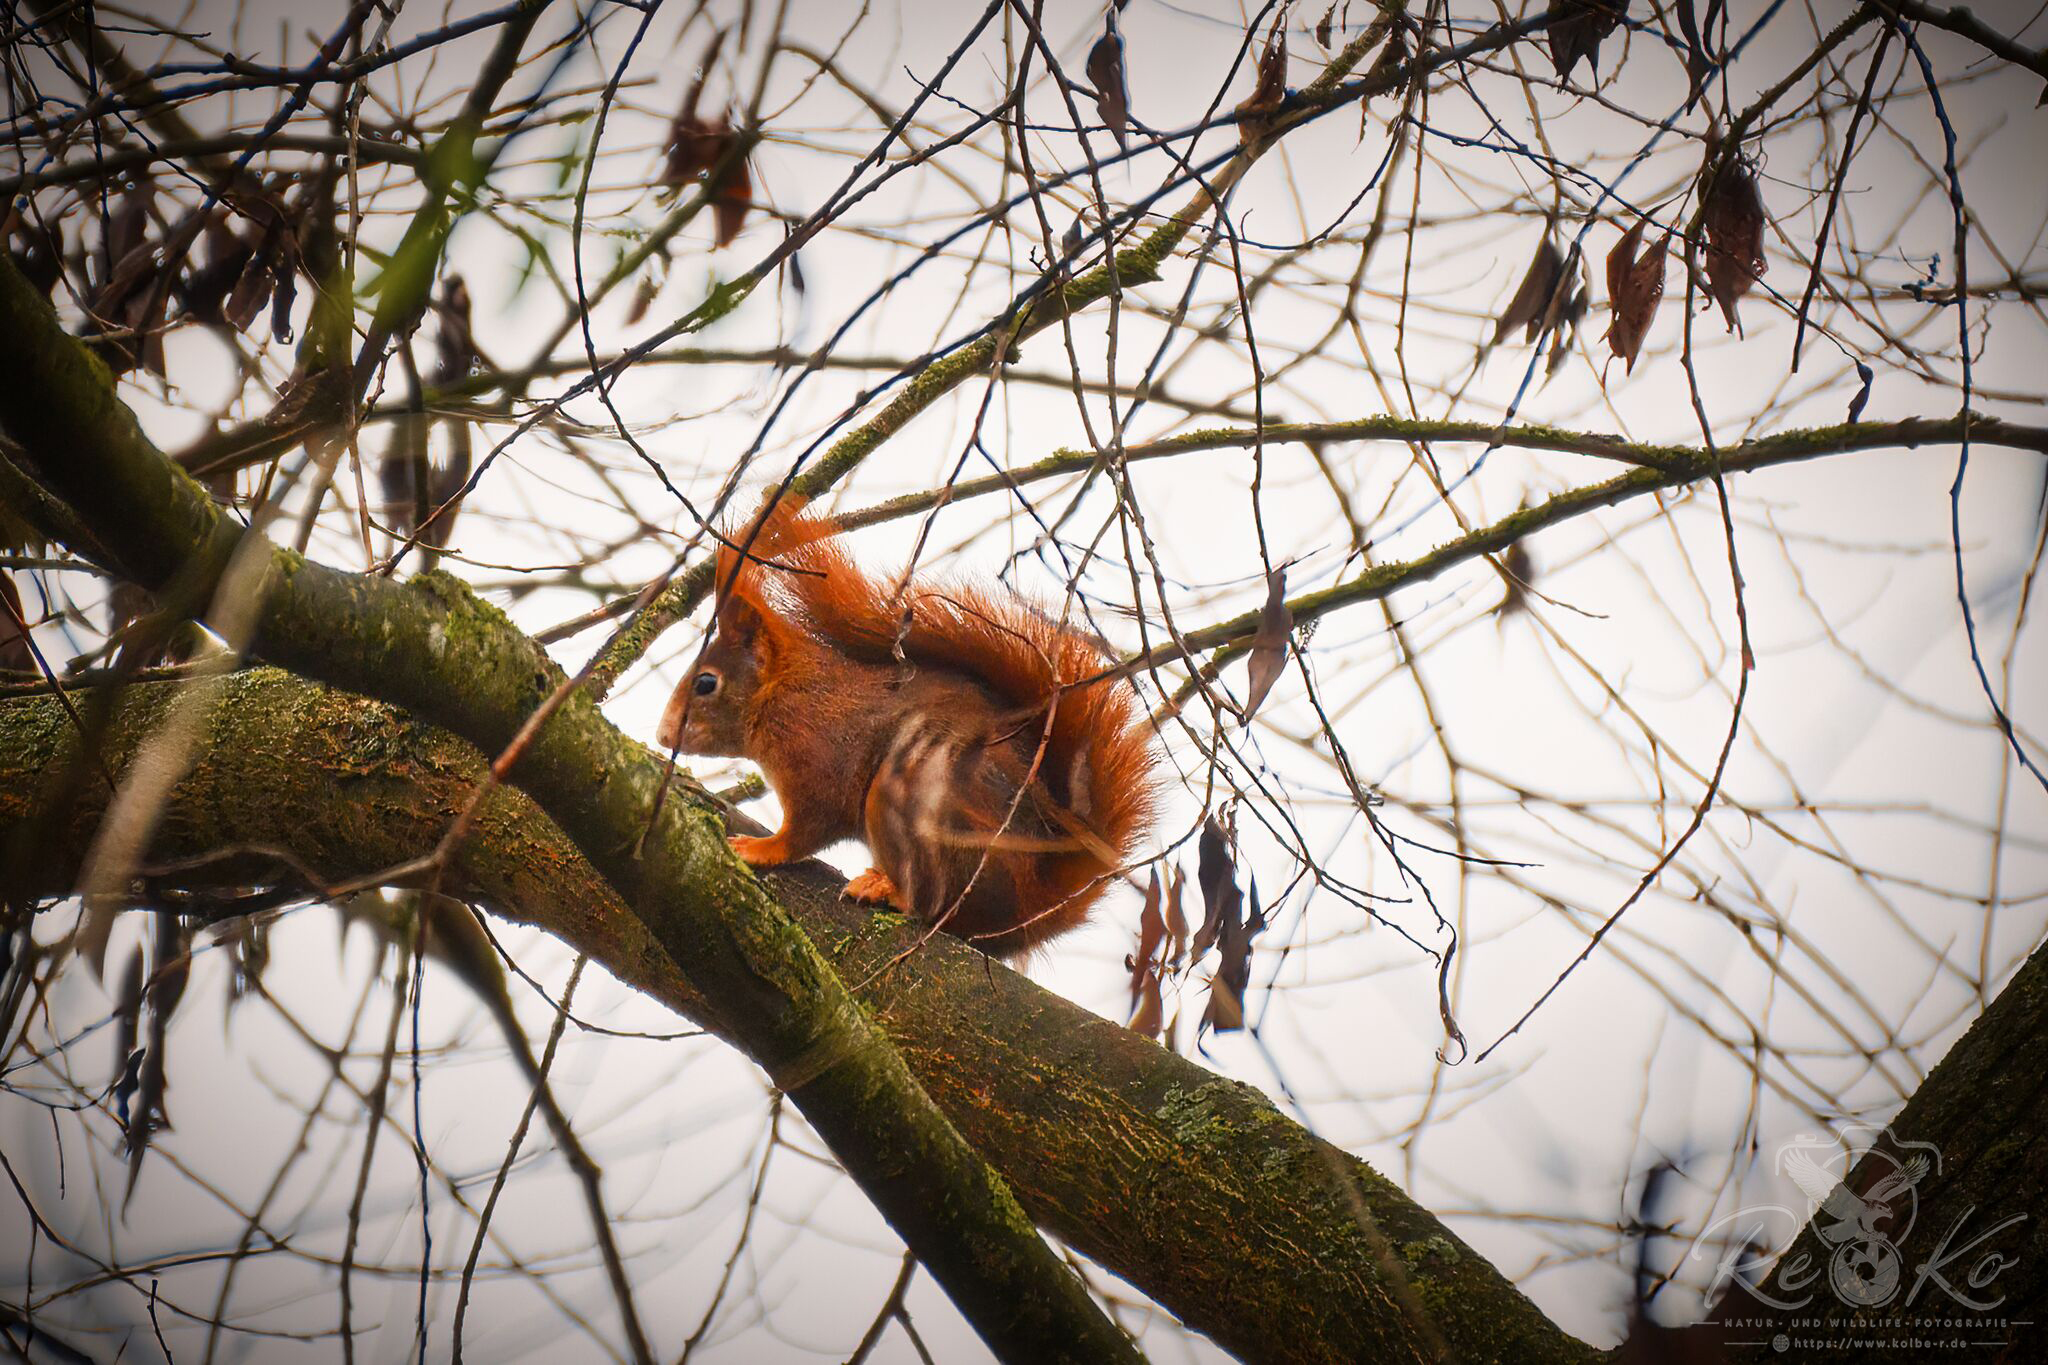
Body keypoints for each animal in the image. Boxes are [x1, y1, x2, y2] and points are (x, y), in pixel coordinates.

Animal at [657, 493, 1159, 958]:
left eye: (706, 683)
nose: (663, 735)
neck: (787, 694)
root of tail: (1027, 910)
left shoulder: (819, 757)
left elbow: (807, 827)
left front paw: (760, 849)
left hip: (916, 798)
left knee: (931, 904)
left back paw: (887, 889)